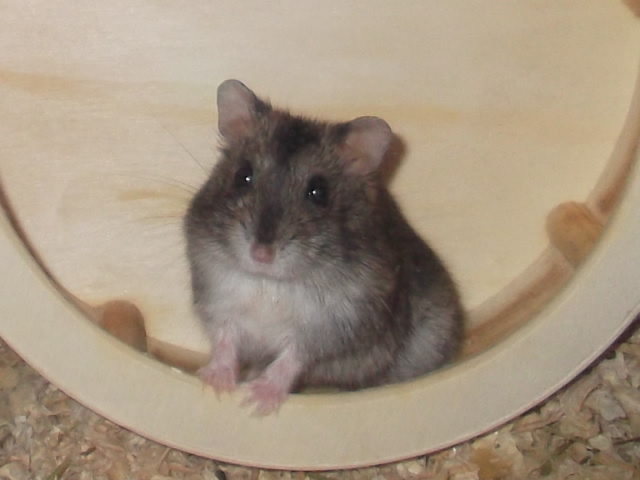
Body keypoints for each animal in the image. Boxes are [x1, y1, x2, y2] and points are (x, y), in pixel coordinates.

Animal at [184, 79, 464, 414]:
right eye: (243, 176)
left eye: (318, 192)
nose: (261, 254)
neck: (270, 282)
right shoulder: (220, 303)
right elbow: (226, 342)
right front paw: (215, 383)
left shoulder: (330, 329)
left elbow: (292, 360)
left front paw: (258, 401)